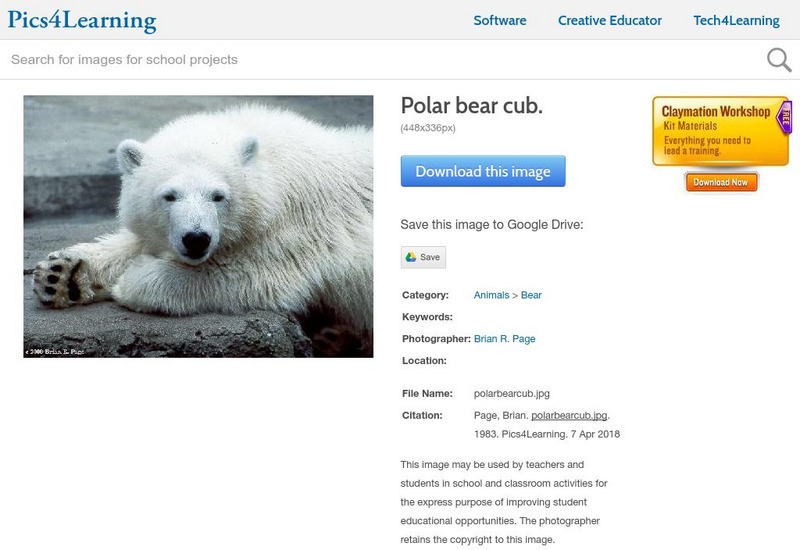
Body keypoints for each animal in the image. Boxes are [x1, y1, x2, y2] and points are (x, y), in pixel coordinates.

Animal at [32, 105, 373, 348]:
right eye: (170, 195)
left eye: (218, 196)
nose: (196, 239)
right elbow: (138, 242)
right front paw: (61, 275)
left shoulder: (299, 229)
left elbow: (250, 275)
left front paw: (132, 280)